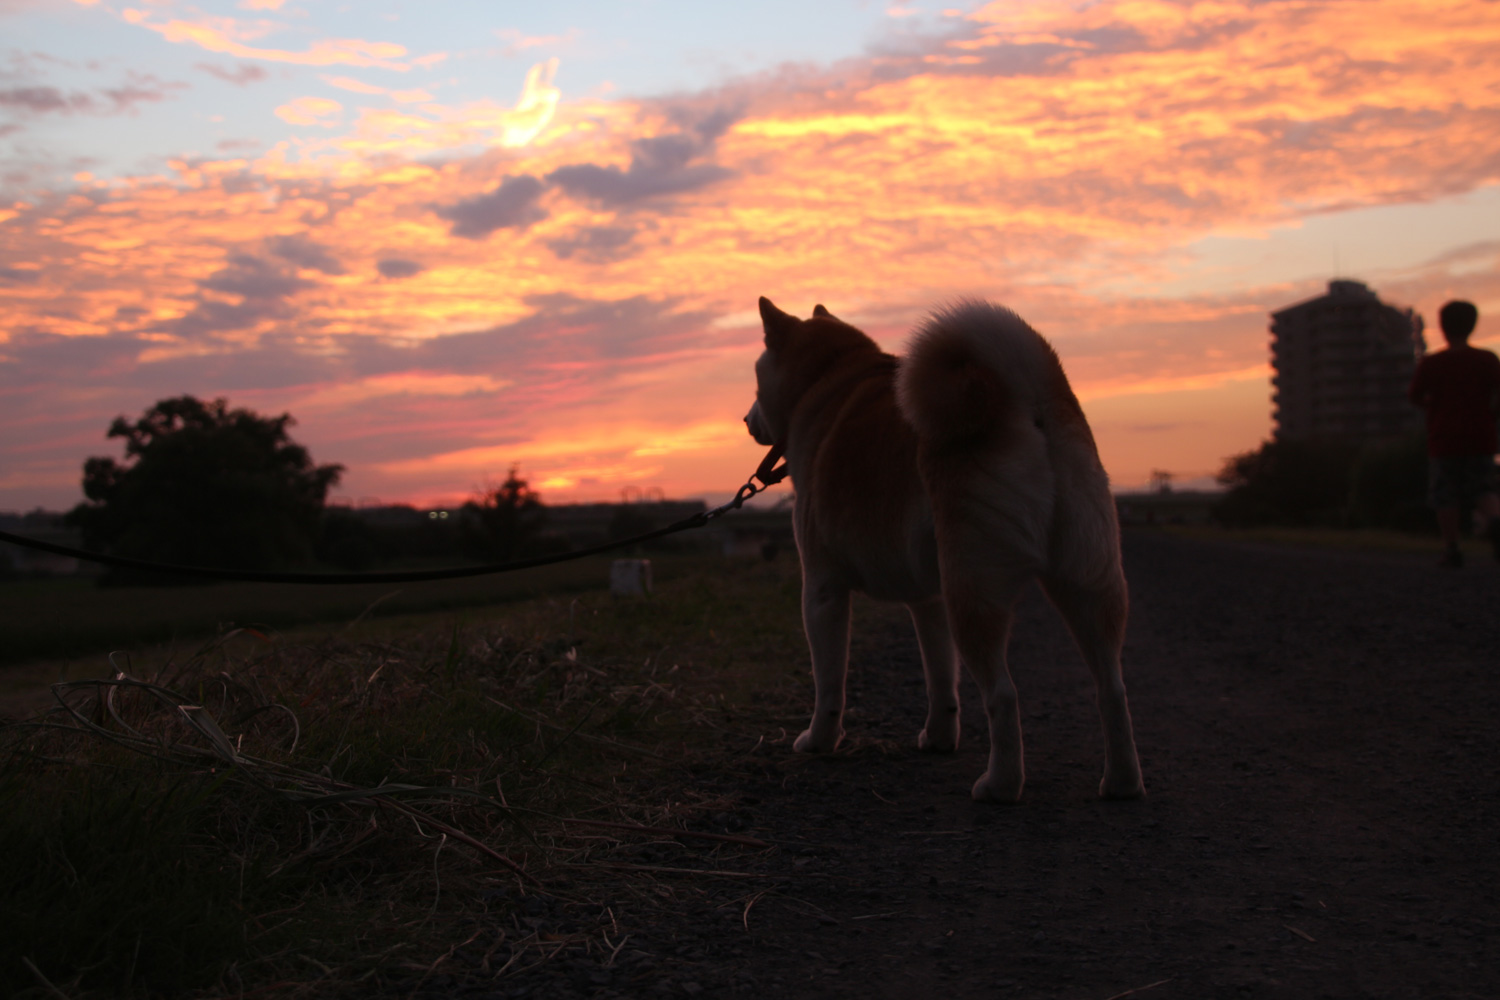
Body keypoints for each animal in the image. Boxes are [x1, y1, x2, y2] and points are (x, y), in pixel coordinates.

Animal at [744, 296, 1140, 803]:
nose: (746, 419)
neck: (828, 381)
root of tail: (1022, 391)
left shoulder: (822, 587)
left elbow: (829, 682)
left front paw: (819, 741)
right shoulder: (928, 599)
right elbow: (939, 678)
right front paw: (938, 737)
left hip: (973, 592)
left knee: (1003, 695)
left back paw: (1000, 784)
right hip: (1086, 582)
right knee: (1112, 688)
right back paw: (1122, 782)